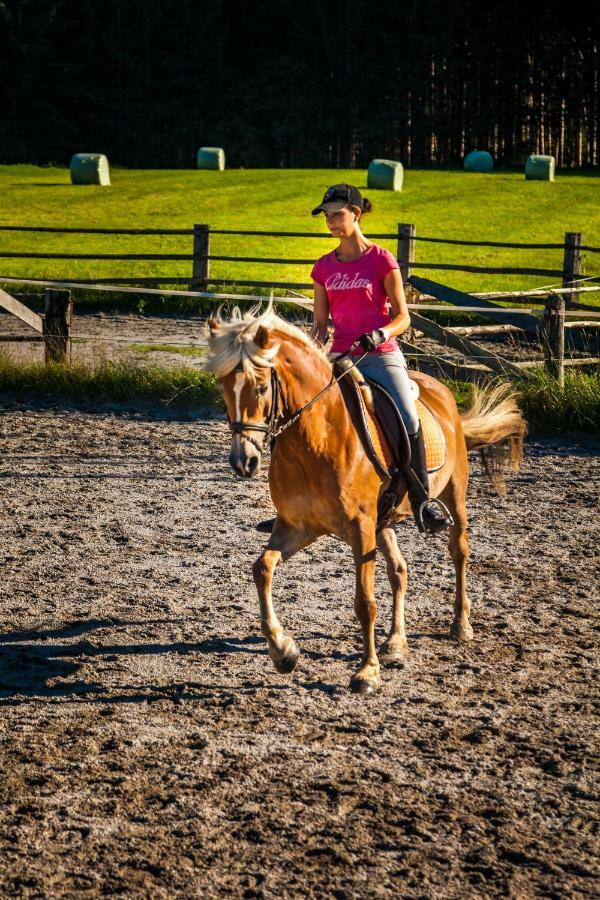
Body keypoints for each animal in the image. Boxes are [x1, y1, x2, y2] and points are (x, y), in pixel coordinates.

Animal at [206, 306, 524, 692]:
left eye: (262, 387)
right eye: (223, 389)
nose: (244, 462)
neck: (315, 439)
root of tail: (441, 390)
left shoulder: (359, 529)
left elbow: (364, 602)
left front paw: (366, 672)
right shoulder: (297, 526)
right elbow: (262, 569)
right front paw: (284, 651)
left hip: (453, 495)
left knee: (459, 552)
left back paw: (460, 624)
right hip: (383, 521)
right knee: (399, 570)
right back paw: (396, 643)